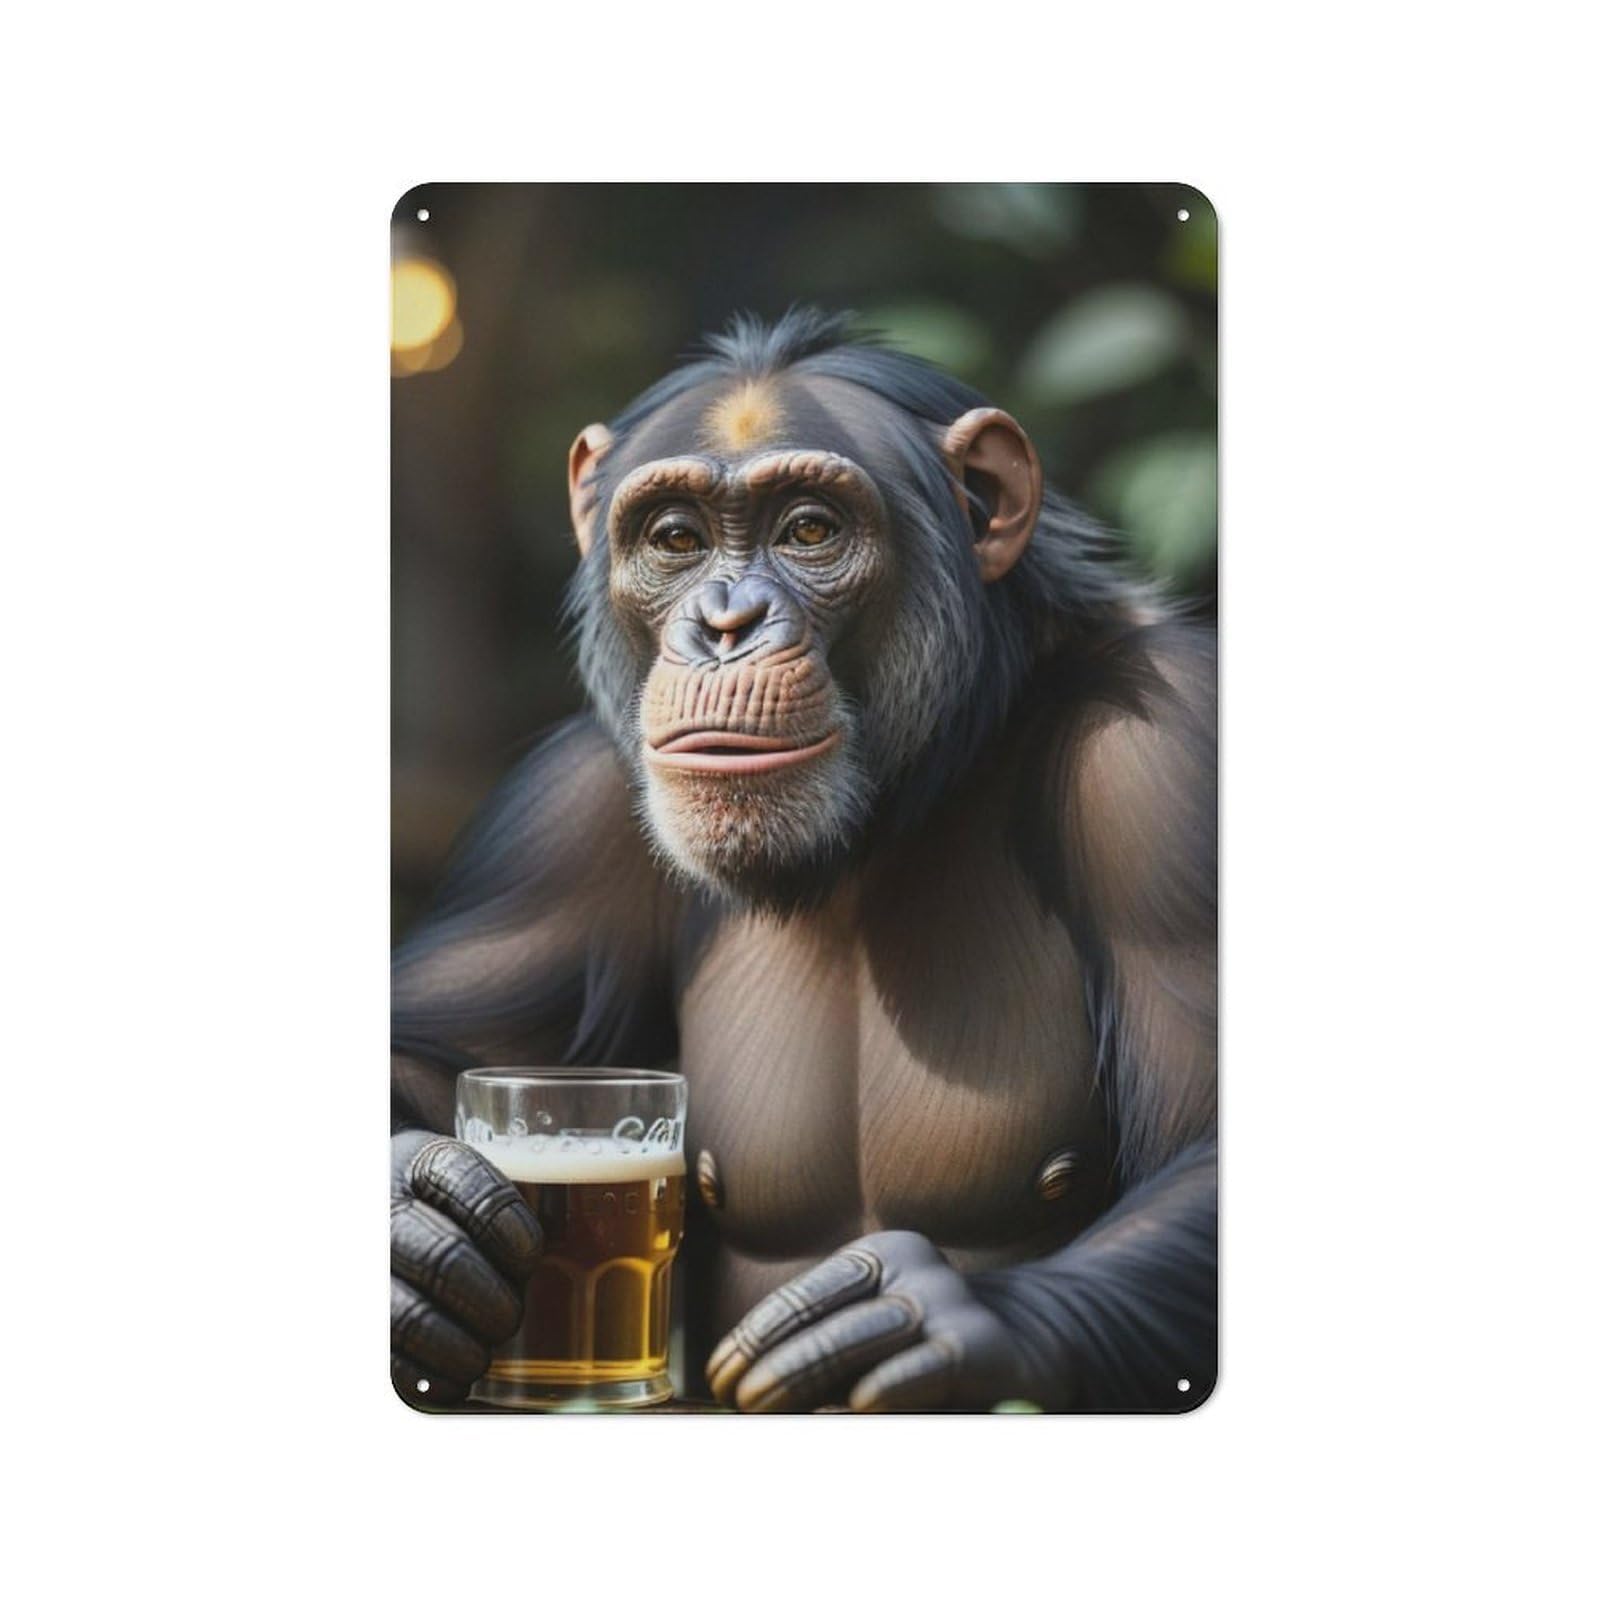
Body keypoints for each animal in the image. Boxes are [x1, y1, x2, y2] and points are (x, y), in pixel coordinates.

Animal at [390, 307, 1216, 1412]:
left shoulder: (1170, 767)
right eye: (677, 539)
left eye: (810, 530)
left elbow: (1204, 1144)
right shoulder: (556, 824)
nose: (725, 622)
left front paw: (928, 1318)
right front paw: (417, 1218)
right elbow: (424, 1047)